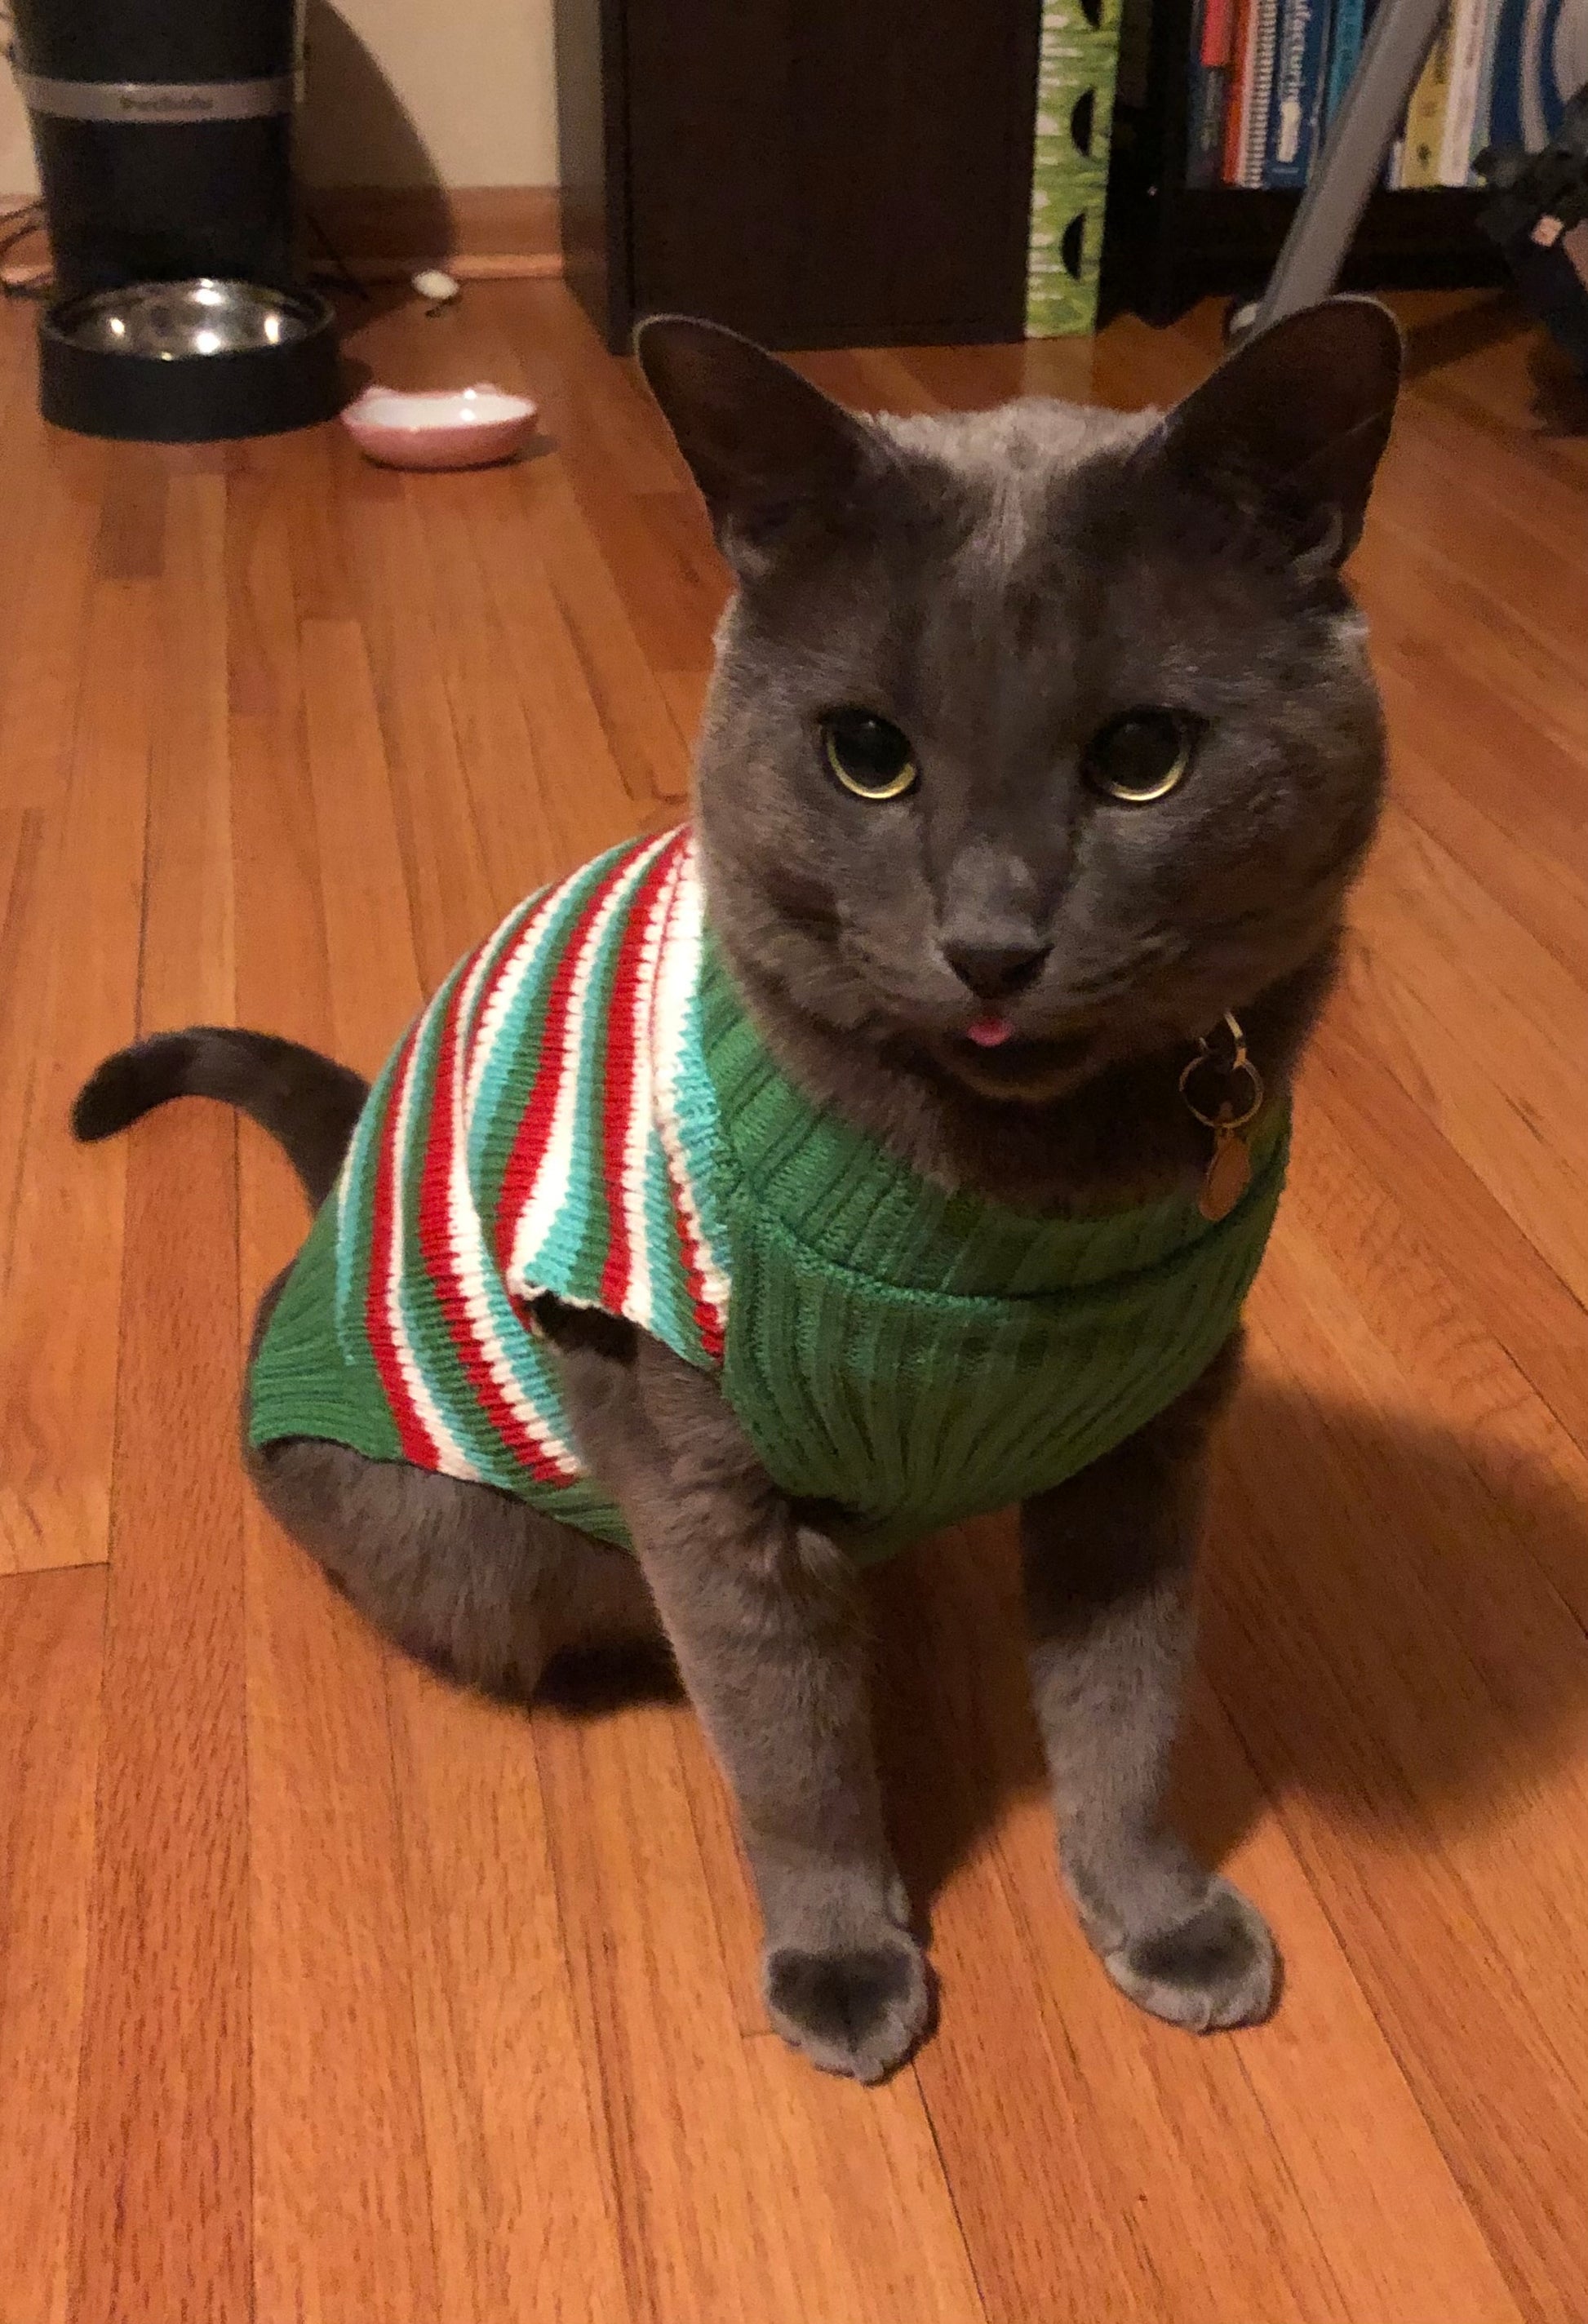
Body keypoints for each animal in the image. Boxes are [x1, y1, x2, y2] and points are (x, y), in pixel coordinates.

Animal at [74, 295, 1395, 2091]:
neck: (1018, 1193)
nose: (991, 942)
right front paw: (843, 1954)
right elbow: (789, 1749)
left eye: (1142, 759)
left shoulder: (1150, 1434)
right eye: (866, 757)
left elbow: (1126, 1702)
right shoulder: (695, 1462)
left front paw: (1155, 1912)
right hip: (470, 1537)